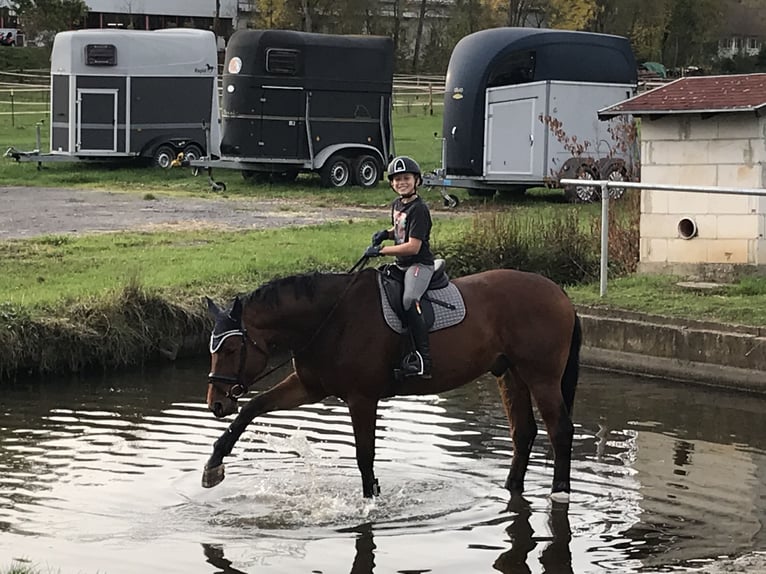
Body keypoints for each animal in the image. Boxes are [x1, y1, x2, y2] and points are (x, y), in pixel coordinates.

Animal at [204, 266, 584, 504]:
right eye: (212, 348)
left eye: (232, 349)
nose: (216, 404)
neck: (330, 318)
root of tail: (559, 293)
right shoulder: (309, 387)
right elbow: (253, 407)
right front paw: (213, 466)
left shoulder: (361, 398)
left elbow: (364, 454)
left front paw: (370, 501)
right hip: (511, 374)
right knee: (524, 431)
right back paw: (511, 486)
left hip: (541, 376)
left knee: (560, 429)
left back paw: (560, 491)